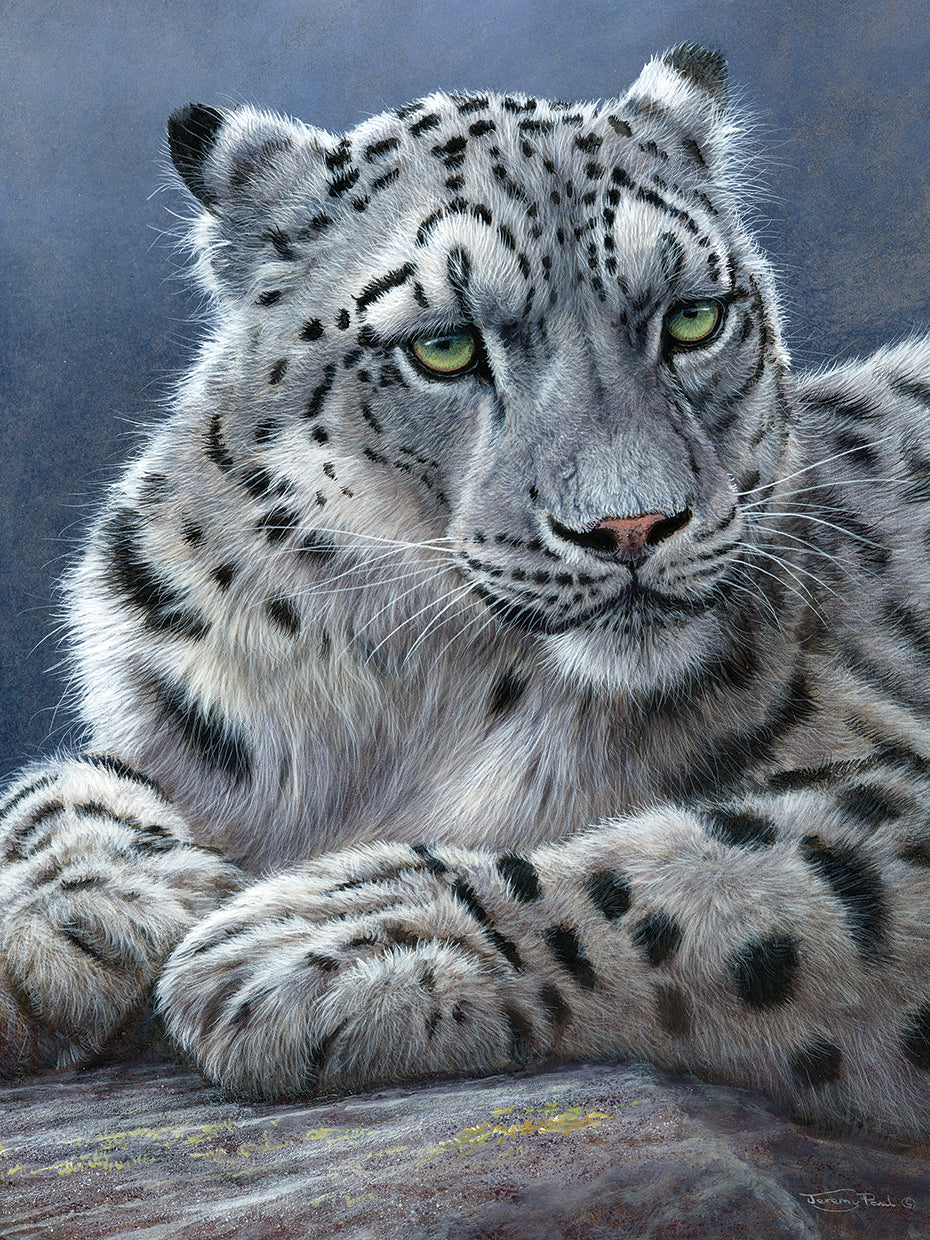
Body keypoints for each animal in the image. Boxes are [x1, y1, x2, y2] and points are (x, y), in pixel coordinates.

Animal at [2, 43, 929, 1141]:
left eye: (694, 319)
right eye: (443, 345)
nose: (632, 526)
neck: (402, 703)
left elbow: (745, 862)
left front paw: (340, 935)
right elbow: (51, 782)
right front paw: (76, 915)